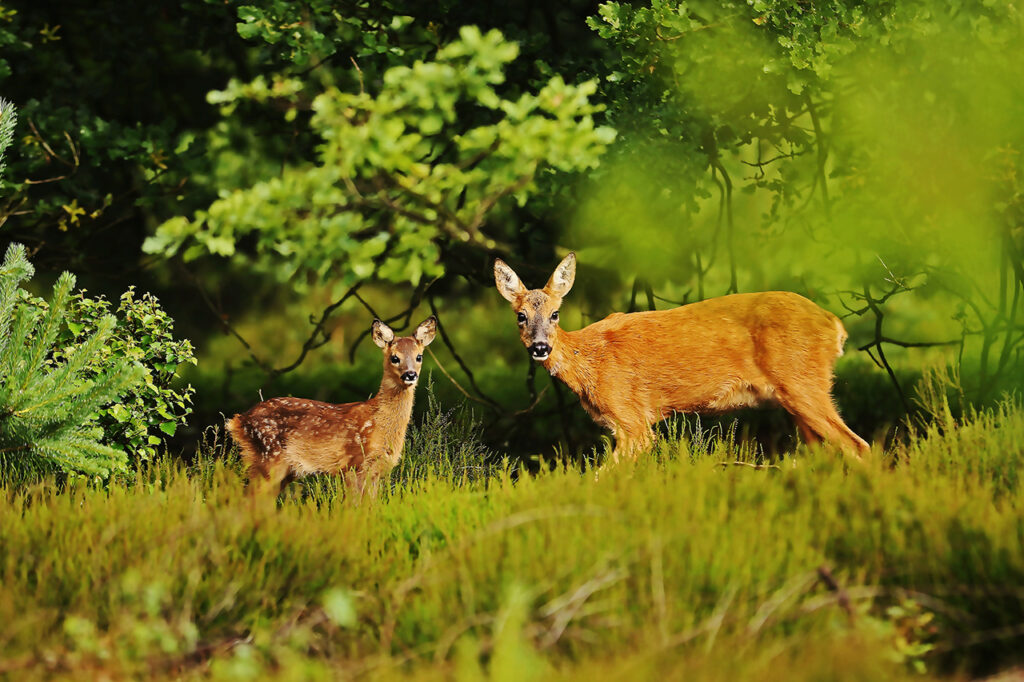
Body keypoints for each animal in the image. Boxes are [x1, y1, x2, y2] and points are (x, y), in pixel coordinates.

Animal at [228, 313, 436, 493]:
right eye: (395, 357)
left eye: (419, 357)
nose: (410, 374)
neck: (378, 424)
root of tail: (237, 421)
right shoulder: (354, 465)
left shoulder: (375, 470)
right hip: (269, 458)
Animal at [495, 251, 872, 458]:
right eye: (521, 316)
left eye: (555, 314)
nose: (540, 347)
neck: (589, 362)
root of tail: (835, 325)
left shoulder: (631, 419)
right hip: (797, 397)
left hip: (802, 383)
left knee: (858, 446)